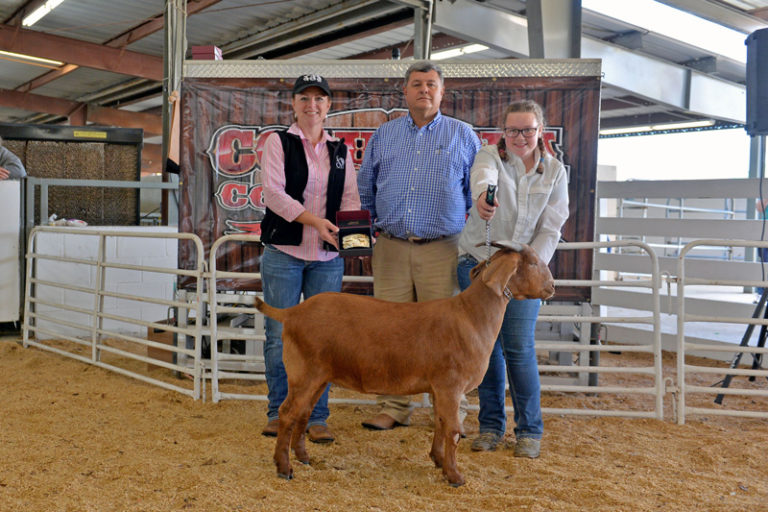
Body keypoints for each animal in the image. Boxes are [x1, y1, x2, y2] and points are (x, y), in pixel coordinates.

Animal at [255, 242, 556, 486]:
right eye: (531, 262)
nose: (552, 286)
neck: (471, 316)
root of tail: (292, 312)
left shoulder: (439, 388)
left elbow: (440, 423)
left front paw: (438, 461)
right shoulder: (451, 385)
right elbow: (453, 430)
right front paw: (455, 476)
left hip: (318, 376)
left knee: (303, 413)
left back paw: (303, 457)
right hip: (304, 373)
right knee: (287, 413)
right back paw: (284, 468)